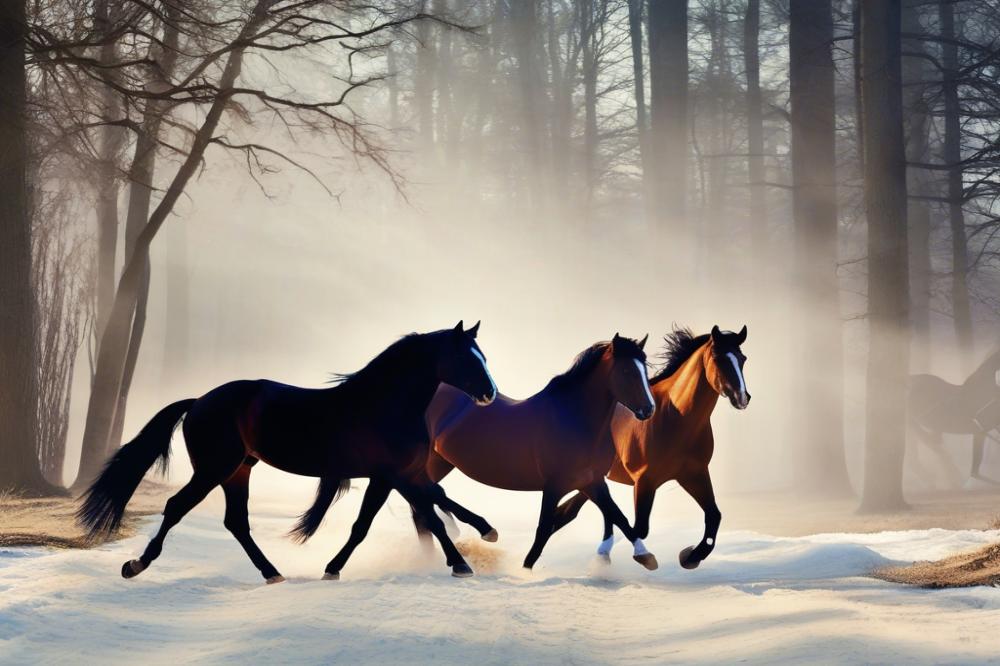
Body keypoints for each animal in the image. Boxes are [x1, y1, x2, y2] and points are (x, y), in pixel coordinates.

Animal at [76, 322, 498, 580]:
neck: (384, 405)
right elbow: (431, 515)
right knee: (177, 507)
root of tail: (199, 402)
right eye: (466, 357)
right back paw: (136, 564)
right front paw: (463, 561)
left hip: (238, 471)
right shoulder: (395, 475)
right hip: (214, 470)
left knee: (237, 522)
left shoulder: (394, 476)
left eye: (483, 356)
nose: (489, 394)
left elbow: (391, 517)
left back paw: (272, 572)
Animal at [420, 334, 660, 568]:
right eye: (627, 371)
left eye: (645, 369)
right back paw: (481, 533)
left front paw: (644, 555)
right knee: (428, 494)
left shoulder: (592, 481)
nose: (648, 410)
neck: (575, 421)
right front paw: (525, 570)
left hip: (440, 462)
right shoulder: (554, 486)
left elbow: (618, 515)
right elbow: (544, 528)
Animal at [548, 324, 752, 568]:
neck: (675, 416)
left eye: (742, 358)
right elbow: (639, 528)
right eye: (718, 358)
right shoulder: (644, 481)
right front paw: (643, 556)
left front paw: (690, 556)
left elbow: (714, 516)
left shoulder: (694, 474)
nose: (742, 398)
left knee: (585, 508)